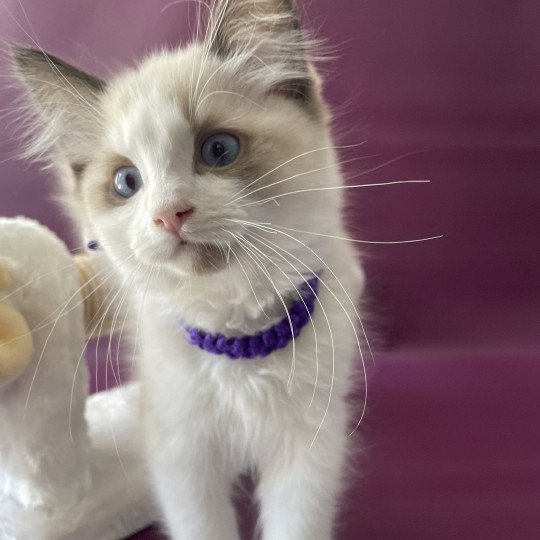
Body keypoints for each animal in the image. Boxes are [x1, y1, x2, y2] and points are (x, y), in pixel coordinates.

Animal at [12, 1, 364, 540]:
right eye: (127, 182)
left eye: (218, 150)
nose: (168, 214)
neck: (237, 338)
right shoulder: (182, 451)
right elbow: (203, 525)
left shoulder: (306, 446)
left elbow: (295, 524)